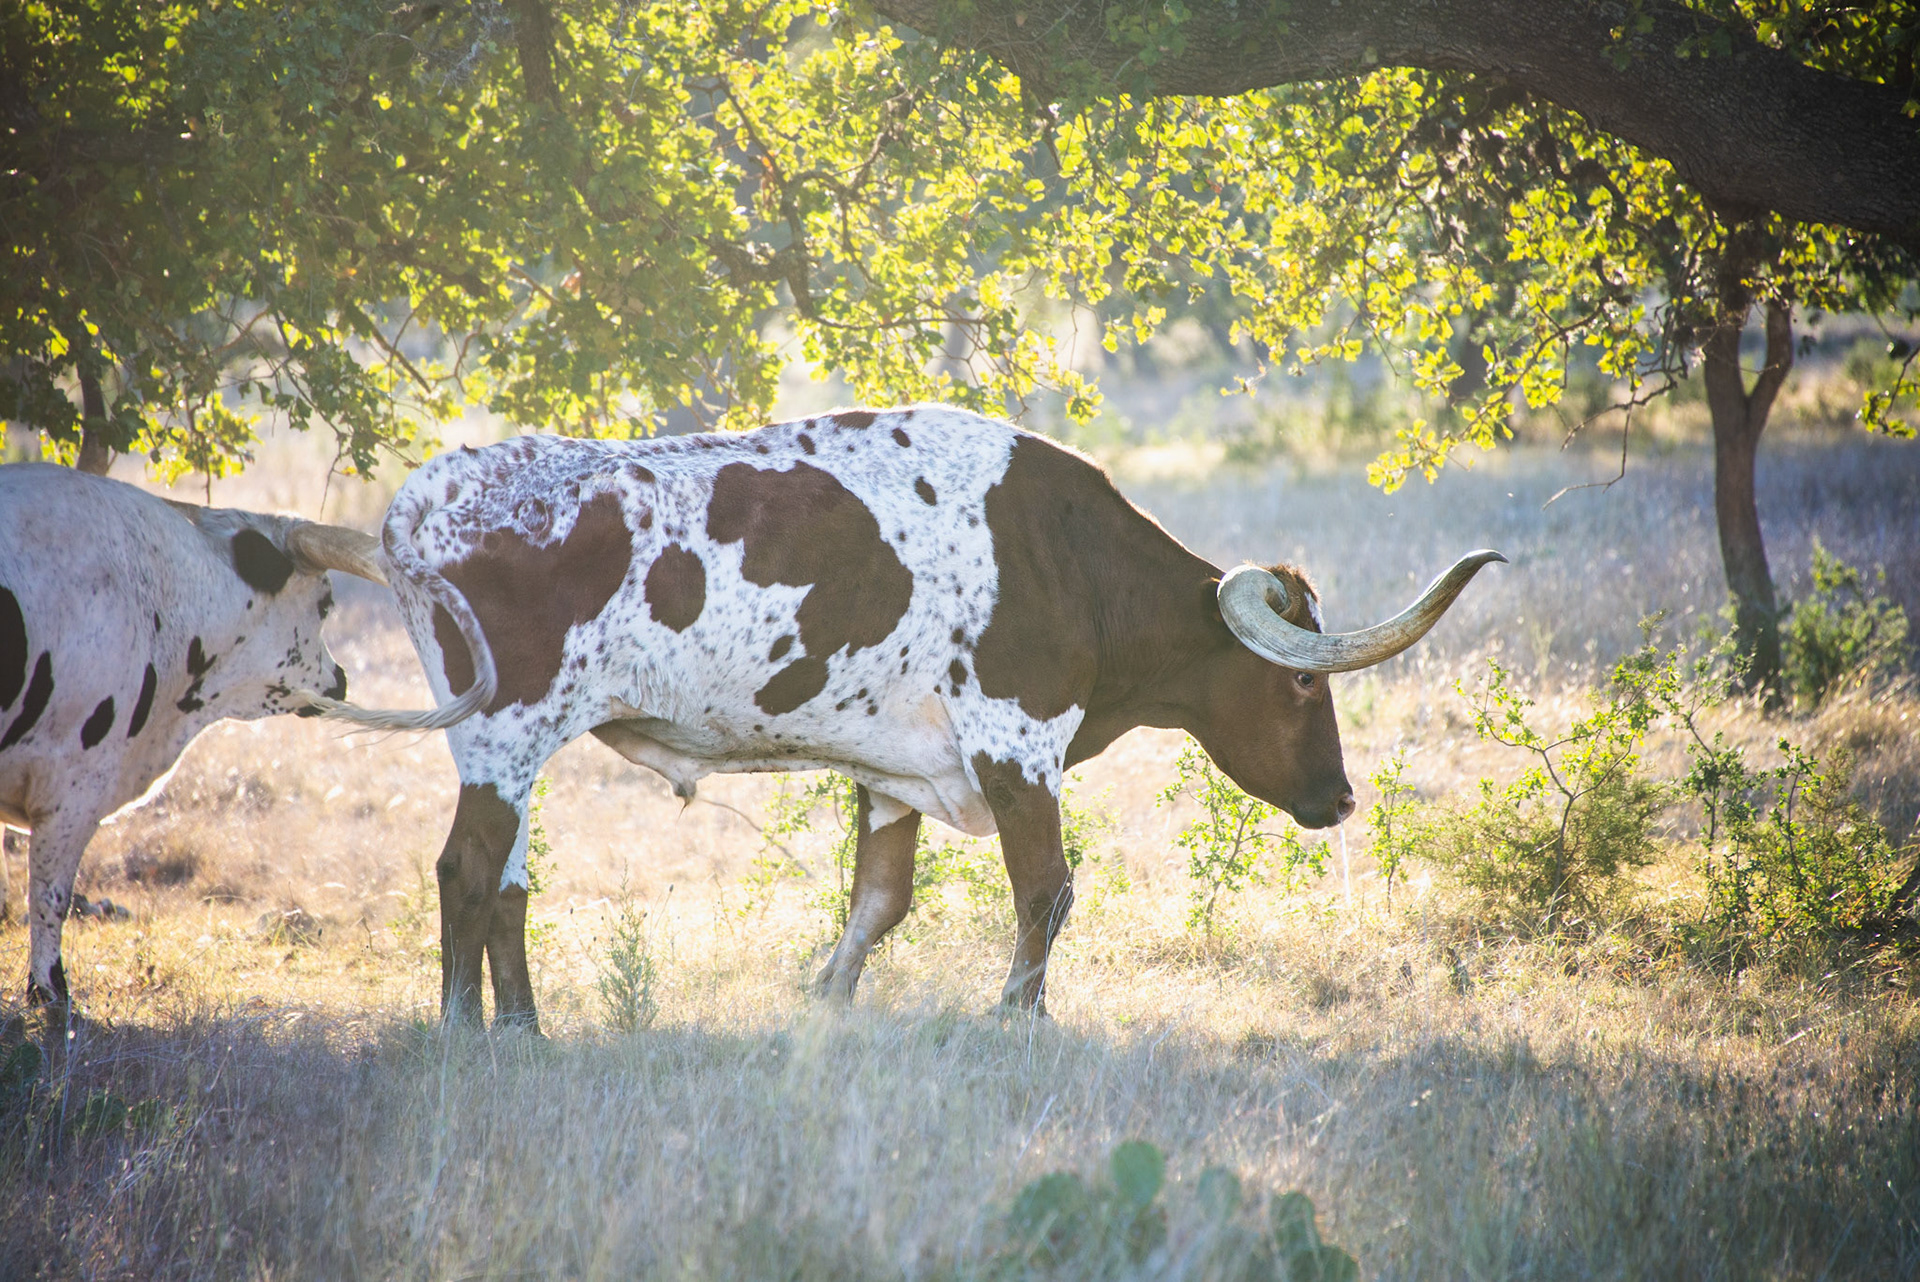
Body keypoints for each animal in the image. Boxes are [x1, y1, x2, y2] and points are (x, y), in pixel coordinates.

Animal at [307, 406, 1501, 1030]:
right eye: (1302, 684)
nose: (1339, 797)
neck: (1071, 560)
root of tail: (424, 501)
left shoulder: (892, 774)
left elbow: (879, 900)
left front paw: (824, 1004)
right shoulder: (1017, 748)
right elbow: (1046, 888)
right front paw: (1019, 1017)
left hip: (516, 751)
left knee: (507, 885)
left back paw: (525, 1028)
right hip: (502, 736)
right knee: (468, 873)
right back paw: (469, 1031)